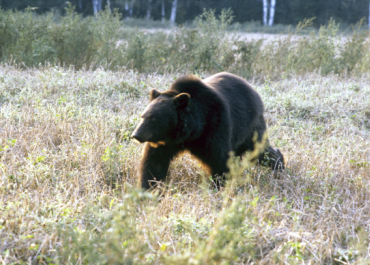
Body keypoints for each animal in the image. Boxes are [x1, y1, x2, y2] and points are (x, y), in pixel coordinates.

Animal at [132, 71, 284, 189]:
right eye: (143, 116)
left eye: (153, 119)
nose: (136, 135)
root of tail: (253, 90)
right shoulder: (165, 143)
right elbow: (154, 163)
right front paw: (149, 186)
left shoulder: (214, 127)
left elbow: (219, 160)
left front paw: (218, 185)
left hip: (249, 126)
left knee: (260, 150)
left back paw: (279, 164)